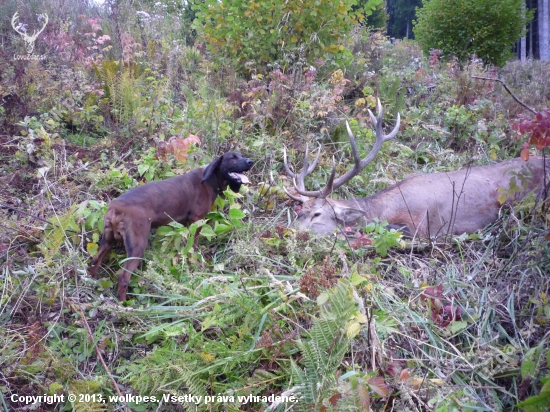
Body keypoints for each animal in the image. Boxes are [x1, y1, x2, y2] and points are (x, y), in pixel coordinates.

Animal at [90, 151, 254, 300]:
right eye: (232, 157)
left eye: (241, 155)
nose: (250, 161)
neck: (209, 179)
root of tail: (115, 208)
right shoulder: (196, 220)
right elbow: (193, 247)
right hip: (137, 246)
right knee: (123, 277)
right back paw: (124, 304)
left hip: (108, 240)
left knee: (95, 261)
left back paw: (92, 283)